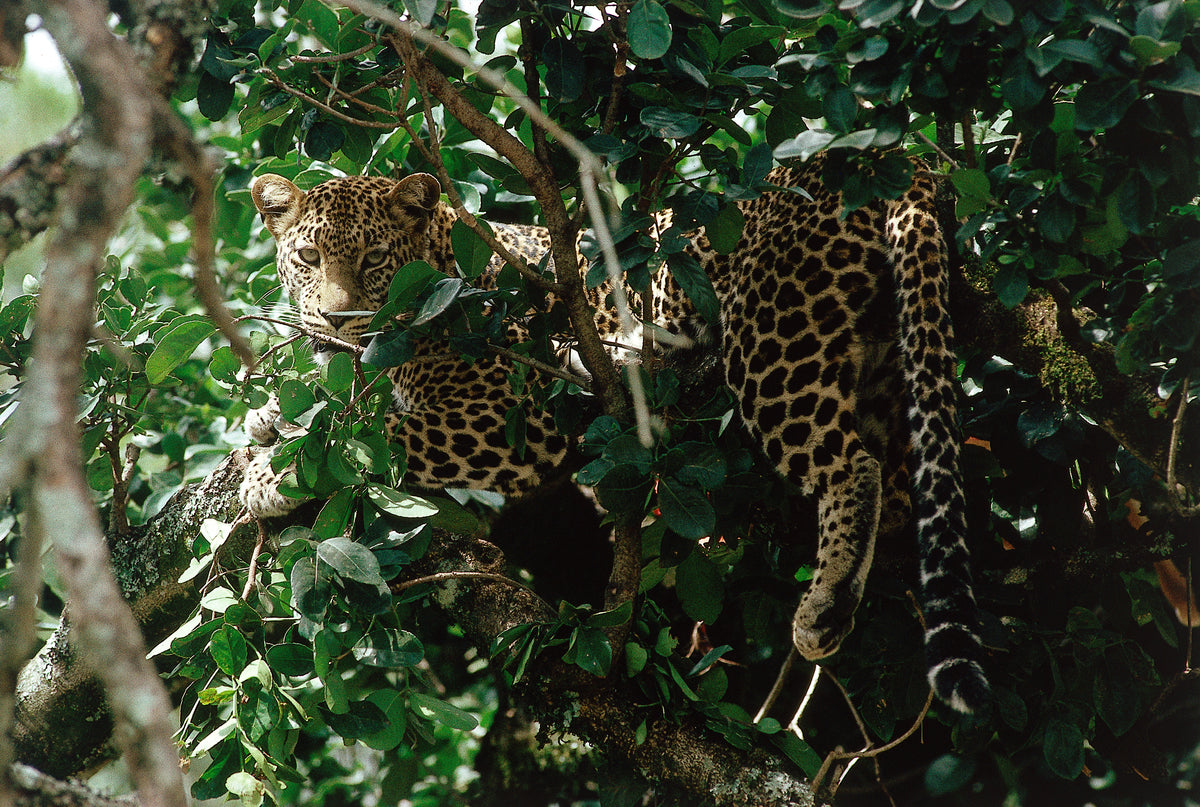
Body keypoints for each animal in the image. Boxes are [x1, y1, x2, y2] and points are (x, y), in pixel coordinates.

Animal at [241, 156, 990, 714]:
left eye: (373, 259)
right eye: (306, 255)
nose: (336, 320)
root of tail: (899, 158)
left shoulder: (510, 414)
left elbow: (380, 435)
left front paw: (266, 476)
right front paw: (266, 421)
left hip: (771, 331)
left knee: (850, 465)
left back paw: (825, 604)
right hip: (884, 360)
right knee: (898, 484)